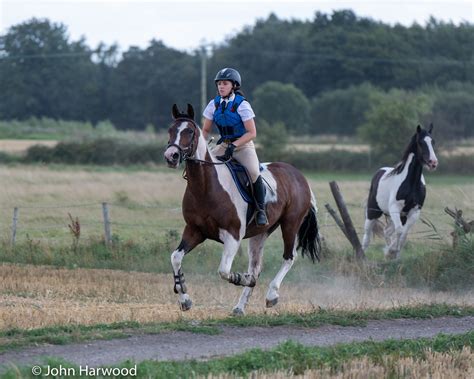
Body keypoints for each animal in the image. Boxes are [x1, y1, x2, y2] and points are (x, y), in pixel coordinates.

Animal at [362, 123, 436, 260]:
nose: (433, 163)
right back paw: (360, 255)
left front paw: (393, 253)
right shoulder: (395, 208)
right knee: (367, 236)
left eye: (433, 142)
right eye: (420, 142)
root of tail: (379, 172)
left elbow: (404, 233)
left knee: (387, 231)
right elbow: (400, 231)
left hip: (400, 216)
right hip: (373, 212)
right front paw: (391, 252)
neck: (411, 182)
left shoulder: (414, 211)